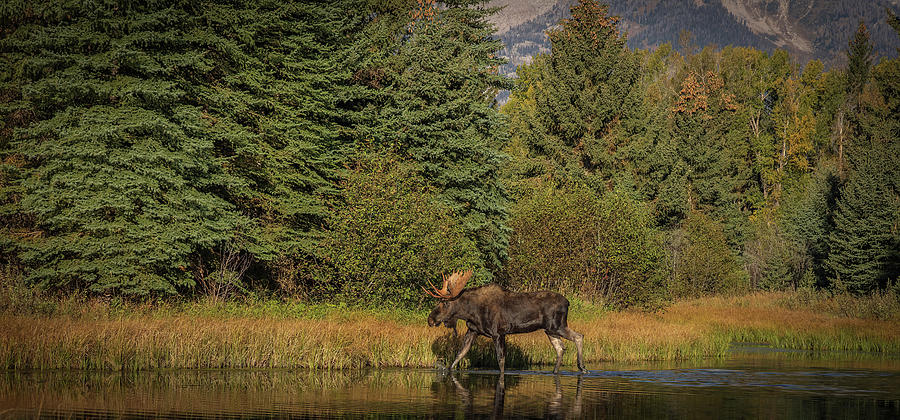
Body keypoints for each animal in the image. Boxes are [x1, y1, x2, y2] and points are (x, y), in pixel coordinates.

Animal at [426, 272, 588, 374]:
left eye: (445, 303)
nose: (430, 319)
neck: (470, 312)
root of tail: (567, 303)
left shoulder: (498, 333)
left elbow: (501, 360)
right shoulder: (473, 331)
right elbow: (460, 354)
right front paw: (447, 370)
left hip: (557, 325)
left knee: (578, 336)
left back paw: (582, 367)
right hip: (549, 330)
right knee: (560, 348)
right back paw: (555, 372)